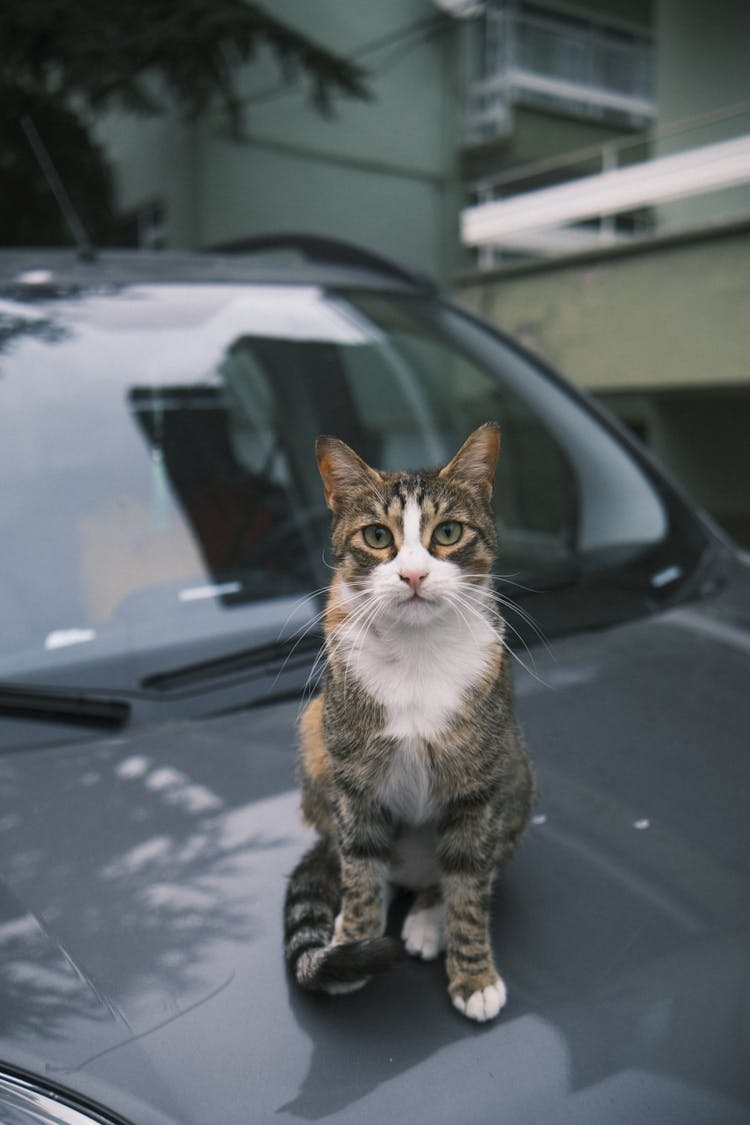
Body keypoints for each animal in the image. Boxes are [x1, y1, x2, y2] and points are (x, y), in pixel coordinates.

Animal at [284, 420, 537, 1021]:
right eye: (378, 537)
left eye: (447, 532)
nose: (415, 573)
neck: (418, 654)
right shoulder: (353, 781)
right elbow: (359, 873)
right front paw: (351, 947)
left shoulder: (478, 786)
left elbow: (469, 885)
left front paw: (473, 976)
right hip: (313, 738)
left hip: (516, 770)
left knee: (466, 869)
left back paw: (427, 916)